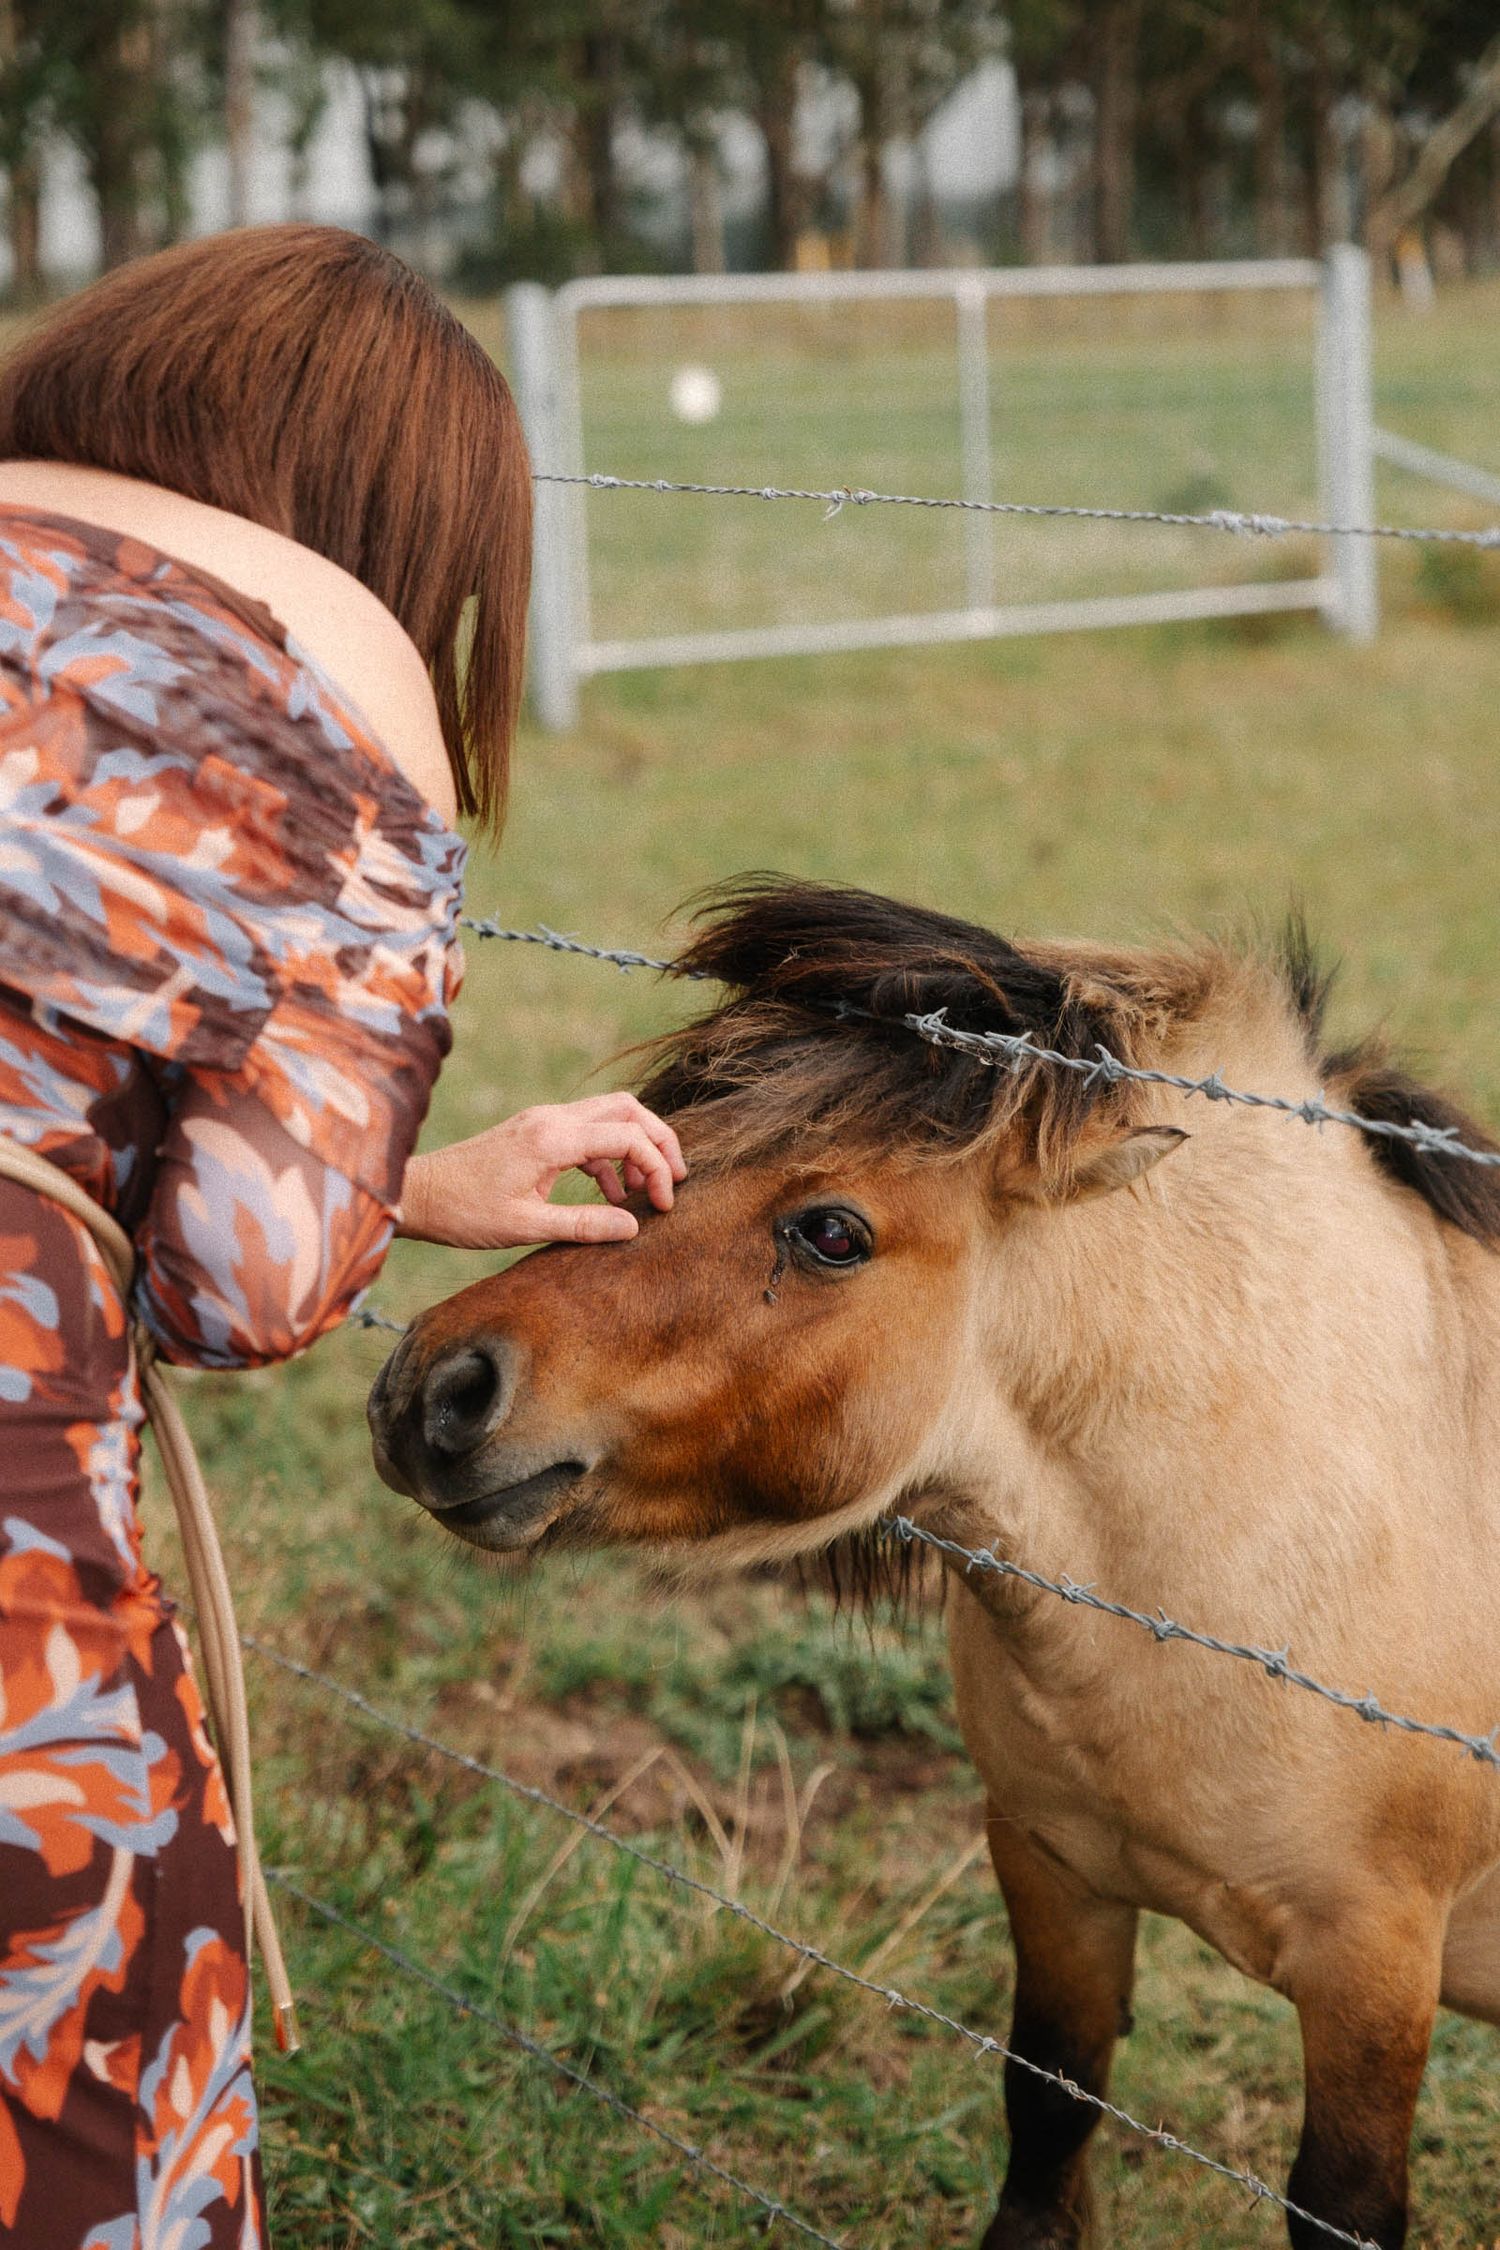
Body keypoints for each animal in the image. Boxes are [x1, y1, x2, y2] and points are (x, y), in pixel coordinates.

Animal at [367, 878, 1500, 2250]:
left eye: (832, 1232)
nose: (436, 1392)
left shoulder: (1373, 1974)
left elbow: (1341, 2203)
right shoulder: (1053, 1870)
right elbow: (1049, 2107)